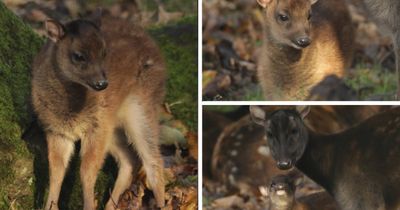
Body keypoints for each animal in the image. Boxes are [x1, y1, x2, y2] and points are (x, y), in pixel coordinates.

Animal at [30, 10, 166, 210]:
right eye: (78, 55)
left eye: (104, 53)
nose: (102, 84)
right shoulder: (57, 131)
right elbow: (56, 170)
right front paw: (50, 206)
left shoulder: (96, 126)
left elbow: (86, 170)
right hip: (113, 128)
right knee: (129, 161)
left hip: (141, 108)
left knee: (154, 161)